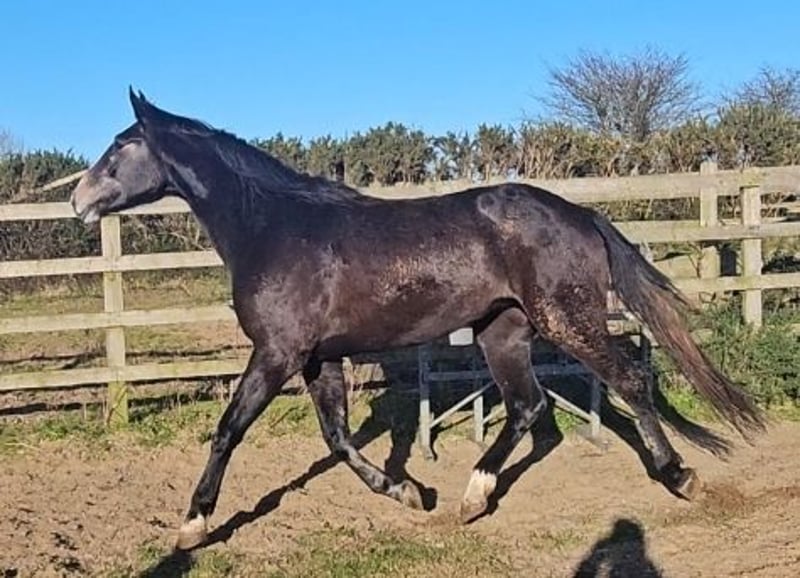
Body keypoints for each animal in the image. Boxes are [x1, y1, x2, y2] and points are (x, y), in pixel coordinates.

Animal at [70, 89, 765, 551]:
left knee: (628, 382)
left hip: (565, 320)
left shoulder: (277, 353)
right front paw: (408, 491)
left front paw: (193, 525)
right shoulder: (318, 358)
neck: (273, 227)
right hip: (503, 331)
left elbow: (227, 432)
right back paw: (472, 496)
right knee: (529, 407)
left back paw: (679, 476)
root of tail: (580, 213)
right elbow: (338, 438)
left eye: (122, 145)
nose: (77, 199)